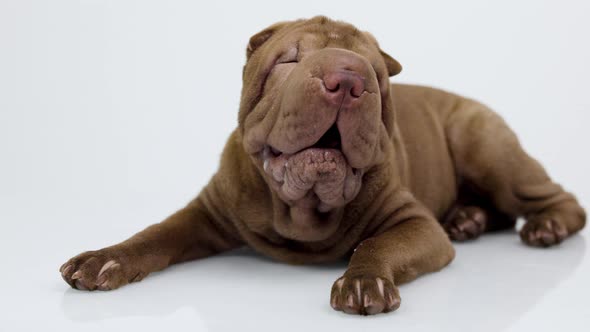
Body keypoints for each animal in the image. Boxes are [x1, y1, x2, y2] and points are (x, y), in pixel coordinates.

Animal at [60, 16, 588, 316]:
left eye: (374, 72)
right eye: (288, 62)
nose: (348, 78)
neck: (302, 207)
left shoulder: (415, 223)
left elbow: (377, 243)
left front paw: (364, 283)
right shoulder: (207, 211)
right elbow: (154, 234)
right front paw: (103, 259)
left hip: (484, 145)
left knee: (559, 199)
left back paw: (545, 227)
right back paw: (469, 219)